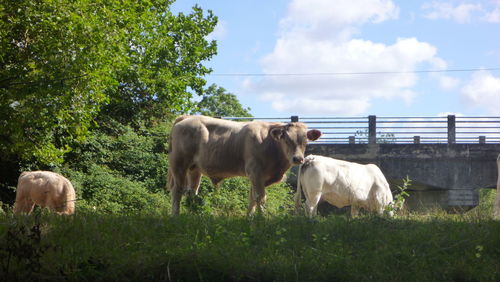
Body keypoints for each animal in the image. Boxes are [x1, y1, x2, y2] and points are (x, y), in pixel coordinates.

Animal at [168, 115, 320, 215]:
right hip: (179, 163)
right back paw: (175, 215)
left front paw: (250, 219)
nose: (298, 158)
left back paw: (192, 215)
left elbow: (252, 198)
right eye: (286, 139)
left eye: (305, 141)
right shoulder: (256, 172)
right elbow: (260, 198)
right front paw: (261, 219)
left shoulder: (259, 177)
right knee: (177, 190)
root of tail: (188, 117)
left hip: (194, 169)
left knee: (192, 191)